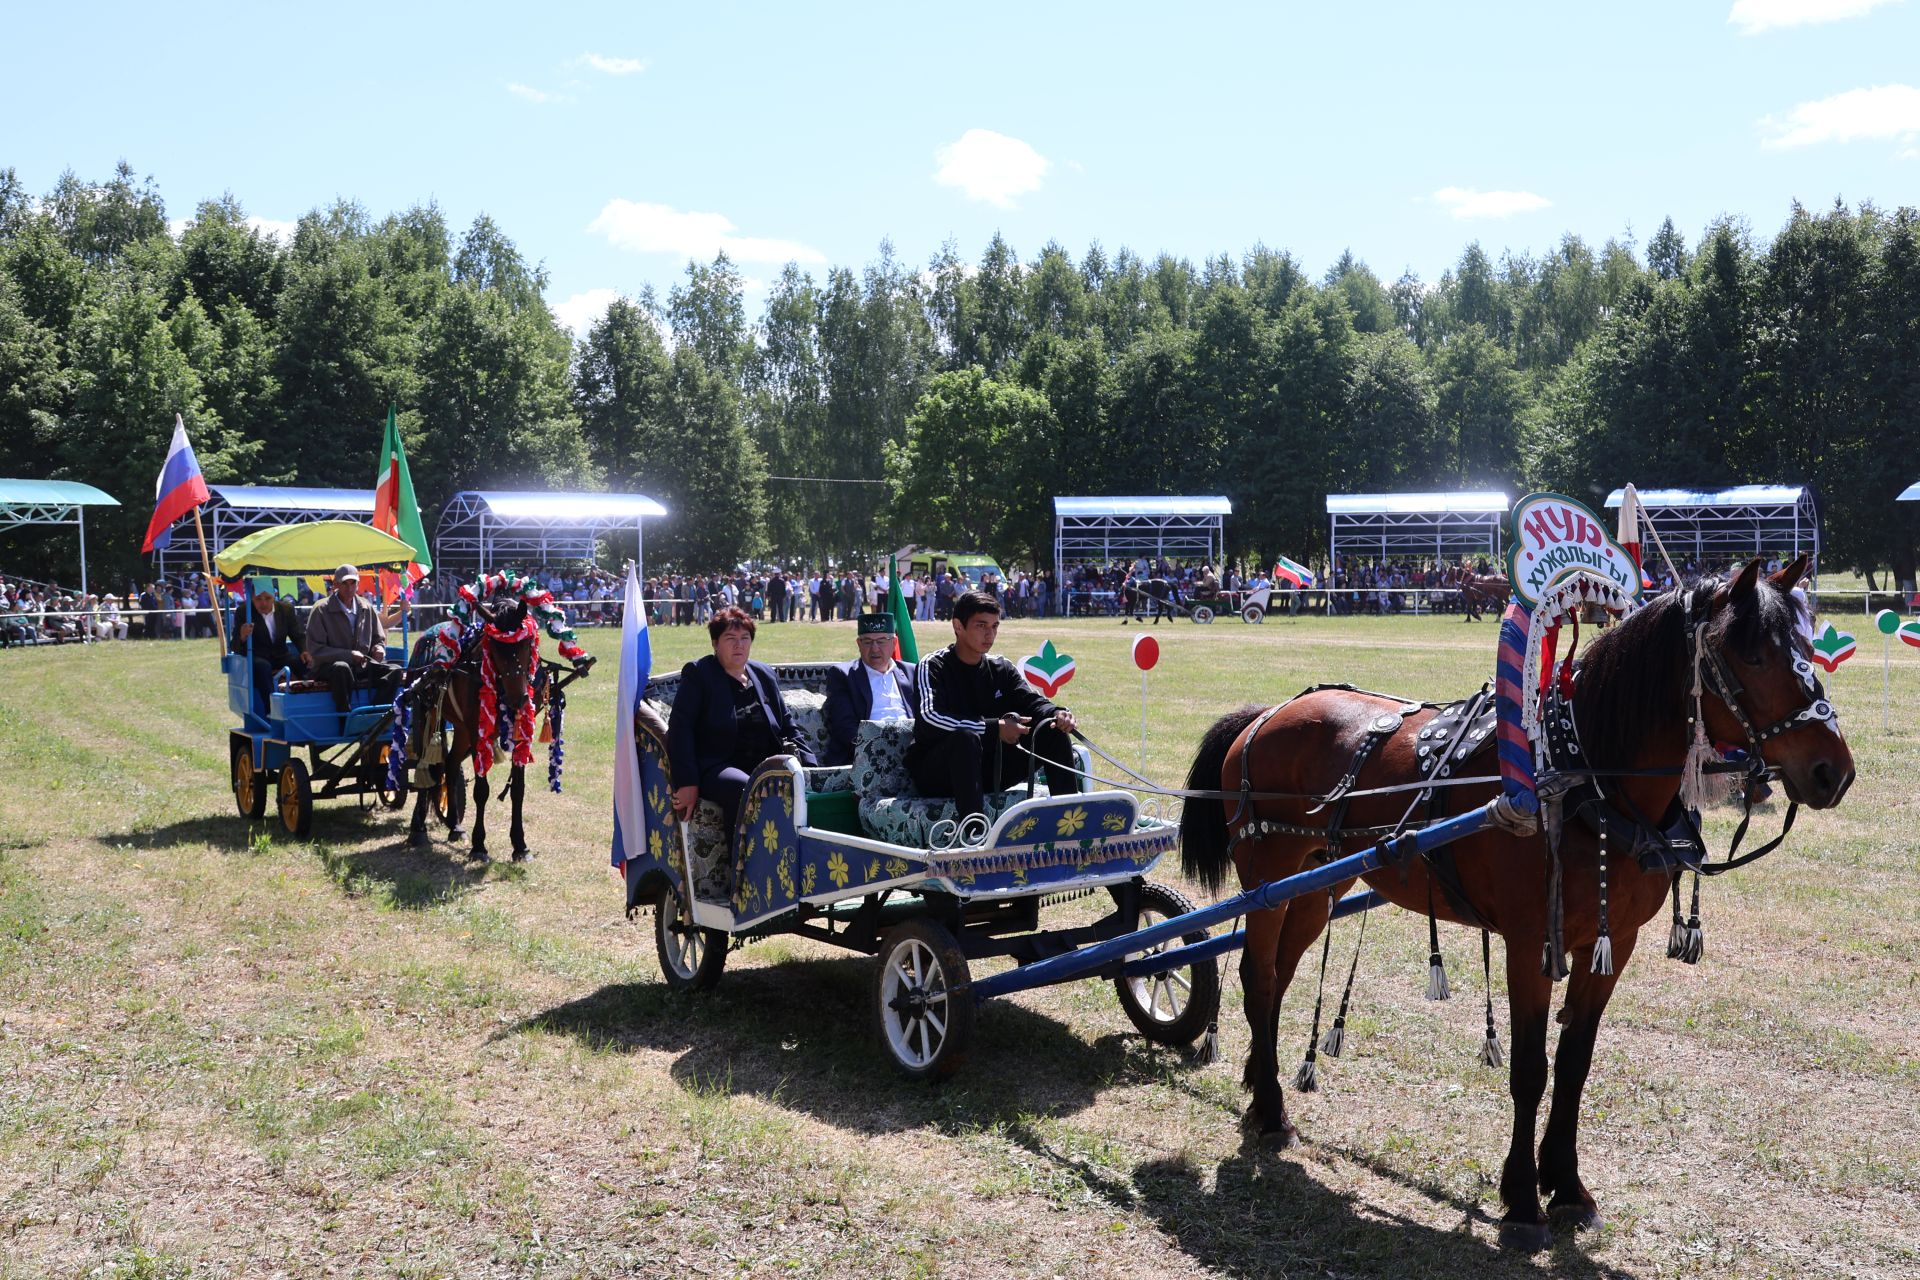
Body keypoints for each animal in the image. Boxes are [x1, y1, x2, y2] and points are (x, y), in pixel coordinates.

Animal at [1175, 556, 1850, 1251]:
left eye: (1807, 647)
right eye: (1751, 655)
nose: (1833, 771)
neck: (1584, 781)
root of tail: (1268, 713)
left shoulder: (1613, 942)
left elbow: (1574, 1062)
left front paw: (1568, 1186)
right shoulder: (1530, 942)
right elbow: (1530, 1067)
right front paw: (1524, 1200)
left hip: (1317, 884)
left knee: (1278, 979)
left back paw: (1260, 1087)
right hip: (1268, 879)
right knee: (1257, 977)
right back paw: (1270, 1112)